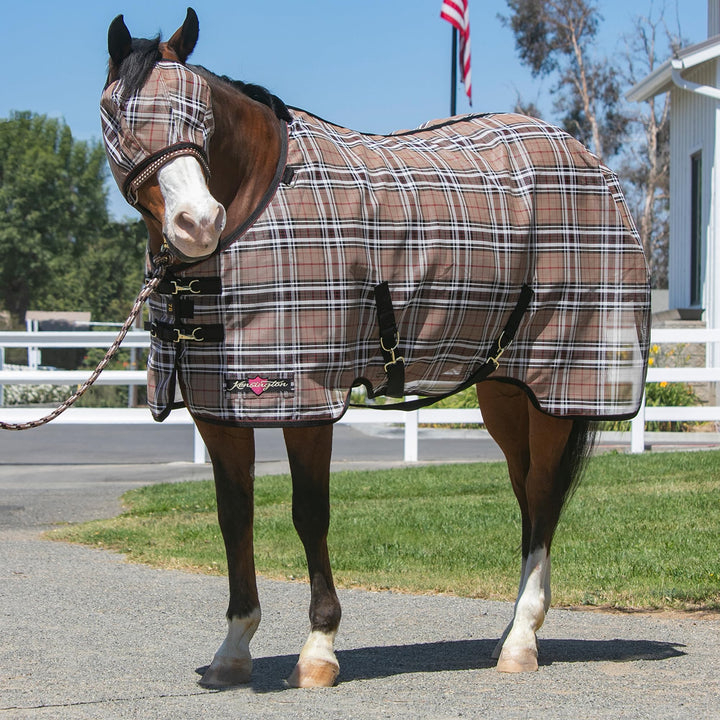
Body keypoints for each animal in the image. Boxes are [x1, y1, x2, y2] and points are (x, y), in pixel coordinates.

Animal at [101, 9, 650, 688]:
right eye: (119, 117)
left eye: (201, 117)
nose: (197, 222)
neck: (259, 205)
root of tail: (586, 158)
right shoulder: (217, 407)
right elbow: (235, 517)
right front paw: (233, 649)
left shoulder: (307, 401)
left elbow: (310, 514)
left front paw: (318, 650)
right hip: (506, 390)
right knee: (526, 495)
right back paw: (514, 629)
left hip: (558, 387)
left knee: (544, 497)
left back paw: (520, 642)